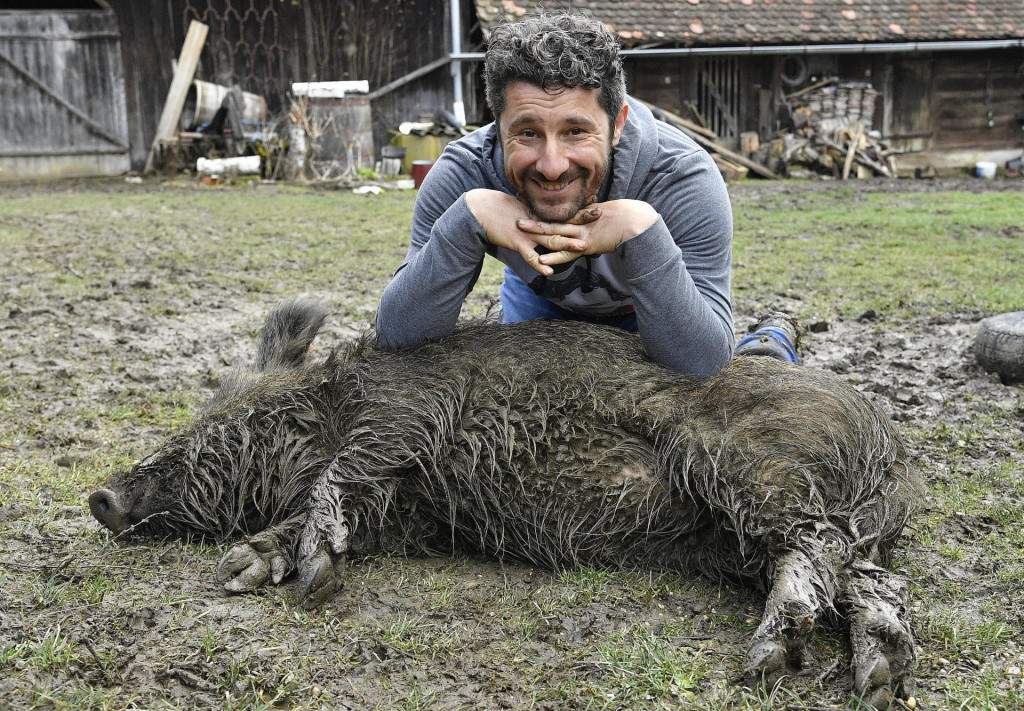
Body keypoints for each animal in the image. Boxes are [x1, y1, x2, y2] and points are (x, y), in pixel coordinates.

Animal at [89, 297, 920, 707]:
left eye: (225, 422)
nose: (101, 495)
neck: (327, 406)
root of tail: (890, 447)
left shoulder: (404, 410)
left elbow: (340, 476)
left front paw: (313, 578)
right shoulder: (410, 510)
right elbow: (332, 512)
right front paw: (241, 567)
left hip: (751, 462)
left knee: (820, 549)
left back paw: (764, 660)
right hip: (761, 528)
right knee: (874, 582)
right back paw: (877, 682)